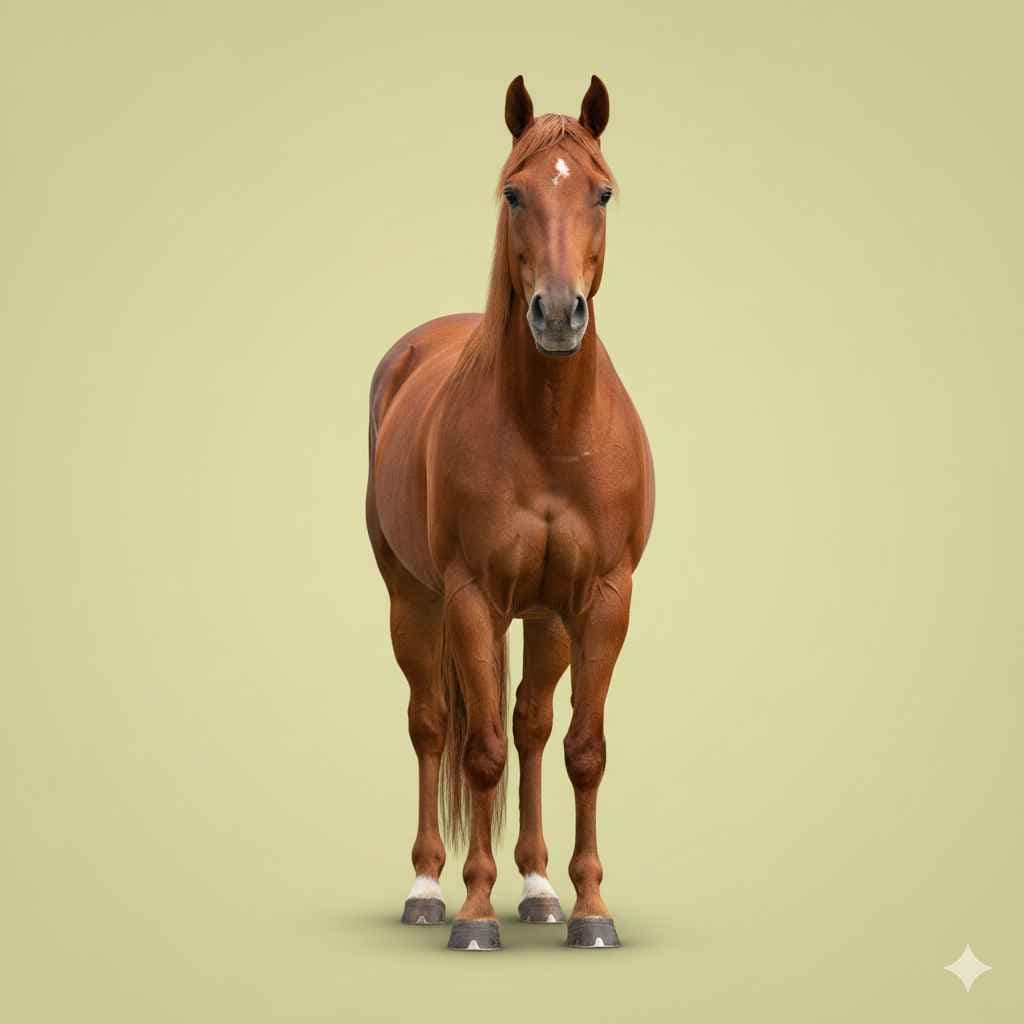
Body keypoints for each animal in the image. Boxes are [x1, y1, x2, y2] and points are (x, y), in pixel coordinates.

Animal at [365, 74, 654, 950]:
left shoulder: (602, 599)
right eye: (514, 192)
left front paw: (590, 910)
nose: (556, 314)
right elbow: (480, 752)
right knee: (433, 726)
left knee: (531, 722)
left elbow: (581, 748)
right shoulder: (469, 596)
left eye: (601, 191)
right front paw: (472, 914)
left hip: (546, 617)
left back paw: (538, 888)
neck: (548, 431)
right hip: (414, 602)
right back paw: (428, 886)